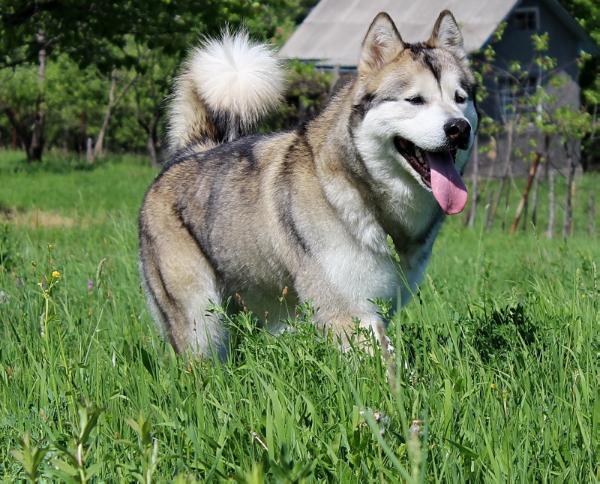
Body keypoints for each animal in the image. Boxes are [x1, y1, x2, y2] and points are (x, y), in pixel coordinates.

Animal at [139, 10, 478, 360]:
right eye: (415, 100)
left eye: (460, 98)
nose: (458, 128)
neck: (361, 189)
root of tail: (189, 152)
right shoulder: (349, 313)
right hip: (200, 325)